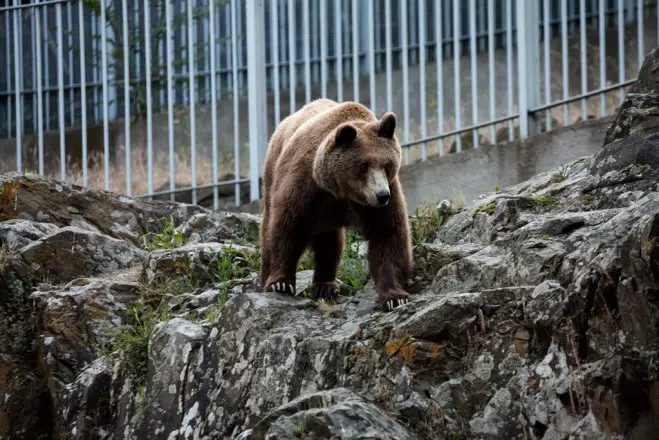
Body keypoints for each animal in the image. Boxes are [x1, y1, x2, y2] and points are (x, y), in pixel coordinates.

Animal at [258, 98, 412, 312]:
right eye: (363, 165)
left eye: (387, 164)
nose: (382, 195)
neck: (339, 190)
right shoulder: (304, 186)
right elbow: (288, 227)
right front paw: (280, 282)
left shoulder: (381, 199)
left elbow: (388, 234)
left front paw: (395, 297)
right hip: (273, 172)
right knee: (268, 225)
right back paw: (266, 277)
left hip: (327, 219)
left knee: (330, 243)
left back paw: (326, 286)